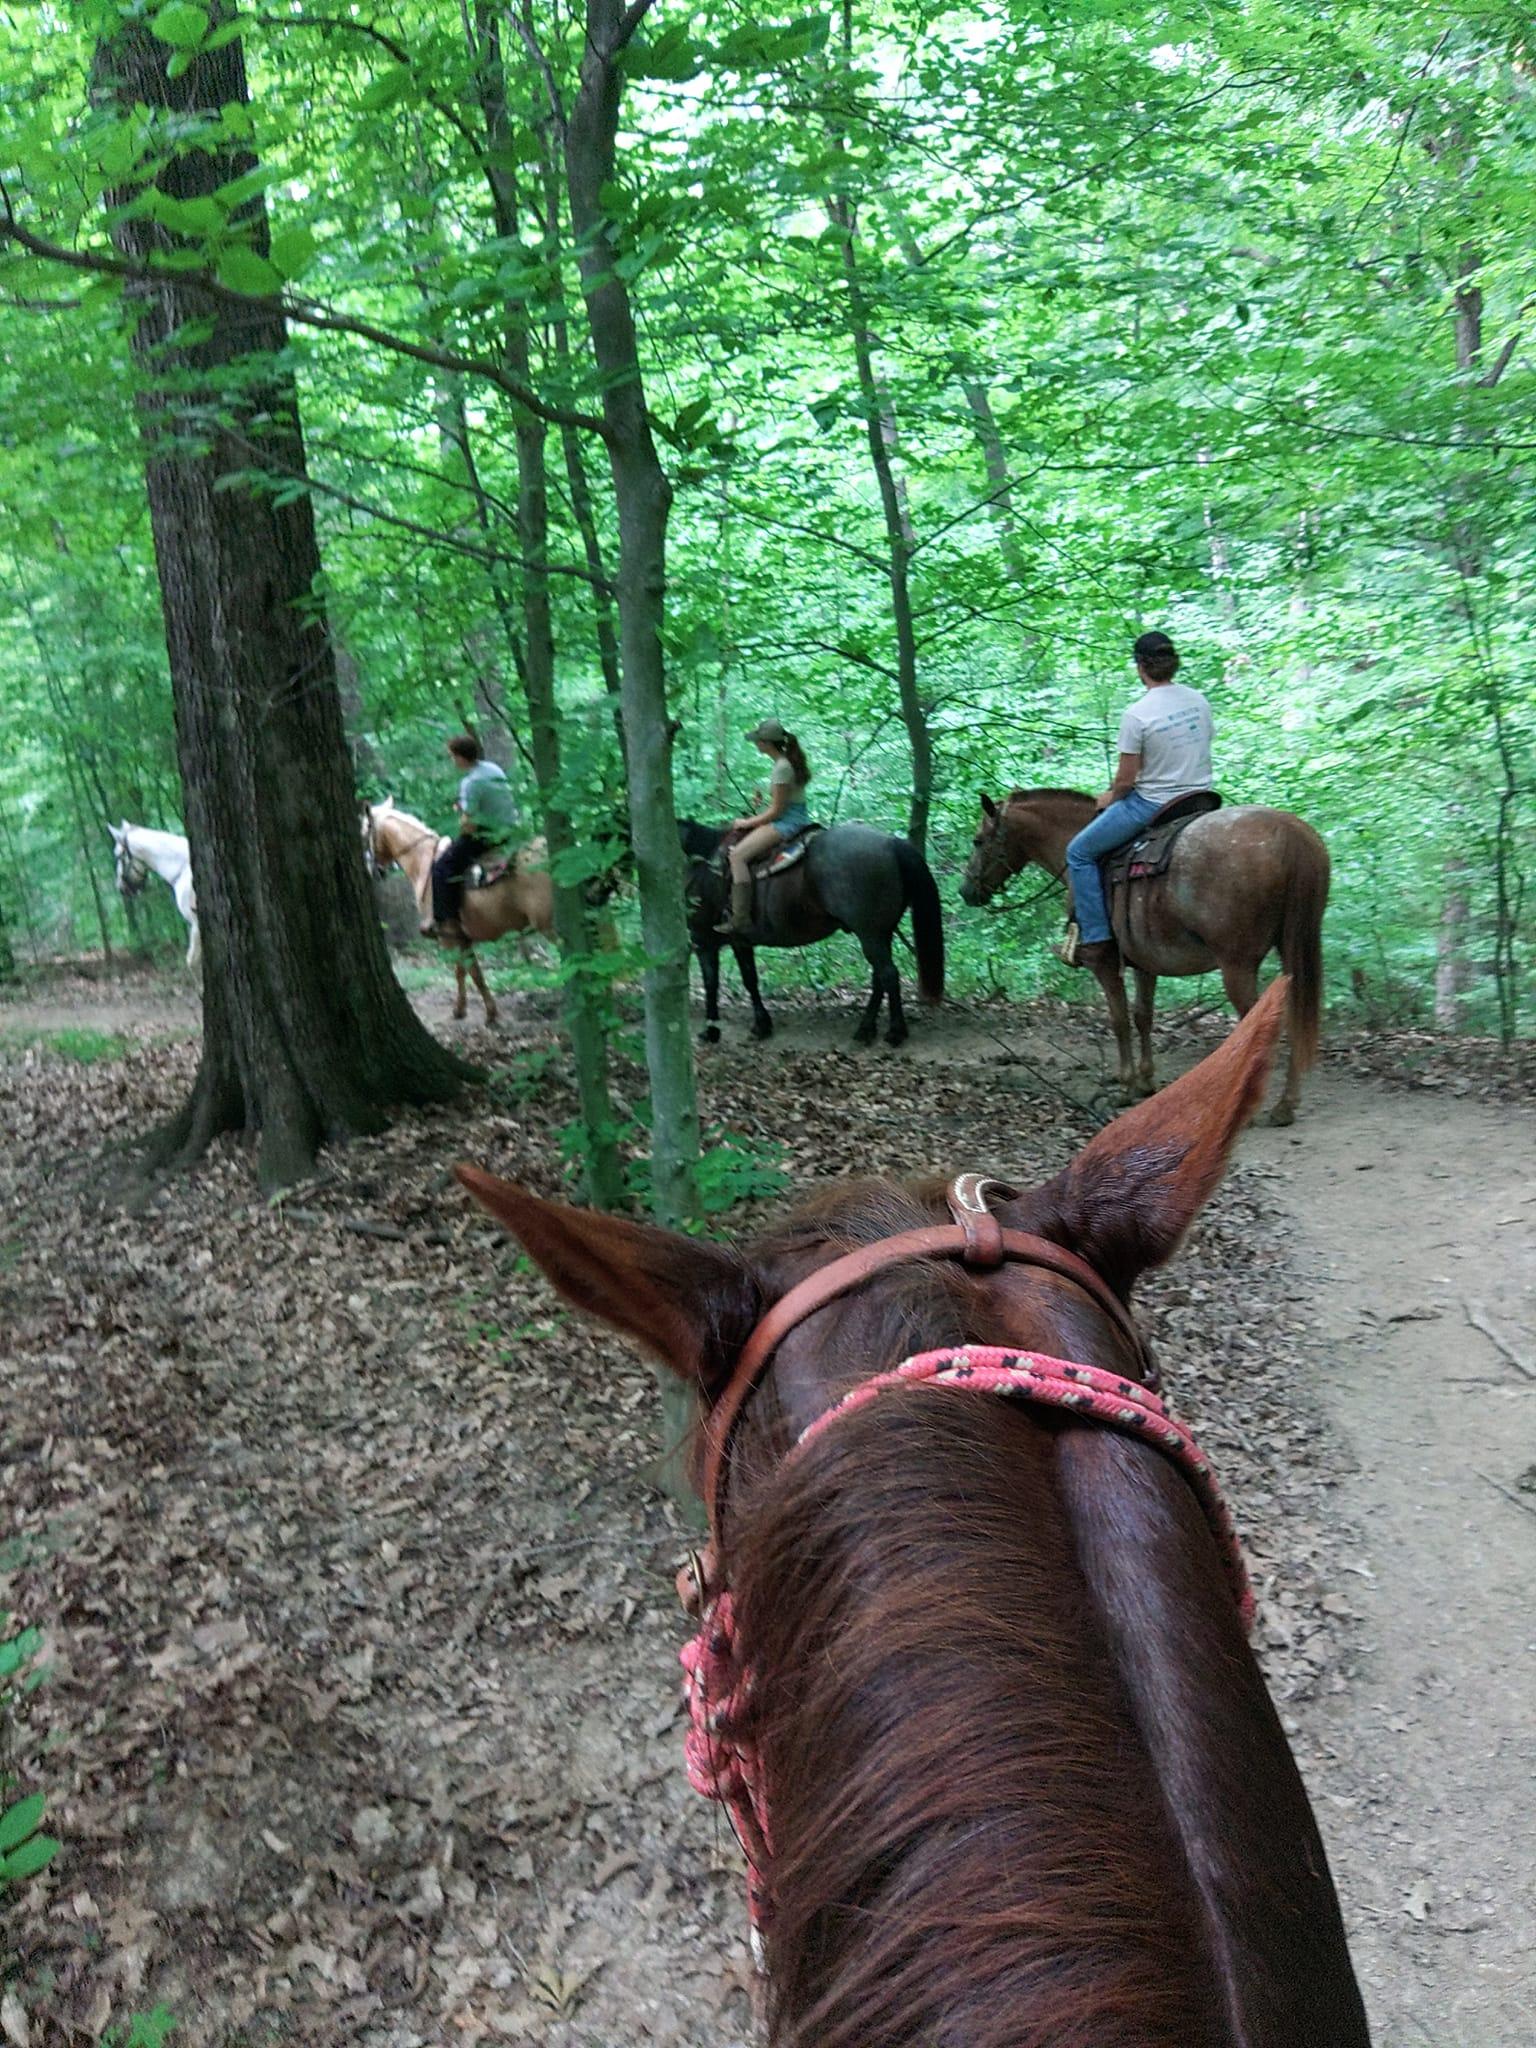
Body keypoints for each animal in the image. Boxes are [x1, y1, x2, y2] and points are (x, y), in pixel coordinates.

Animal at [360, 794, 552, 1024]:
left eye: (364, 834)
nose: (373, 871)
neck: (423, 862)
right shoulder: (462, 937)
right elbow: (471, 971)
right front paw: (482, 1011)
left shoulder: (449, 935)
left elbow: (464, 972)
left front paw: (470, 1011)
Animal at [679, 815, 946, 1048]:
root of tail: (891, 842)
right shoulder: (728, 942)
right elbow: (744, 981)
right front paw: (758, 1025)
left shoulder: (710, 940)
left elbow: (723, 982)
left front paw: (714, 1031)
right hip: (881, 934)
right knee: (879, 977)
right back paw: (865, 1029)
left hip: (870, 934)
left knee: (889, 975)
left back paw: (895, 1032)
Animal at [966, 790, 1327, 1130]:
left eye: (978, 840)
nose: (965, 891)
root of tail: (1290, 832)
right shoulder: (1145, 962)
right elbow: (1143, 1016)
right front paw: (1145, 1081)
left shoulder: (1104, 963)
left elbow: (1119, 1019)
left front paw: (1125, 1086)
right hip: (1291, 951)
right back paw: (1284, 1106)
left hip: (1236, 965)